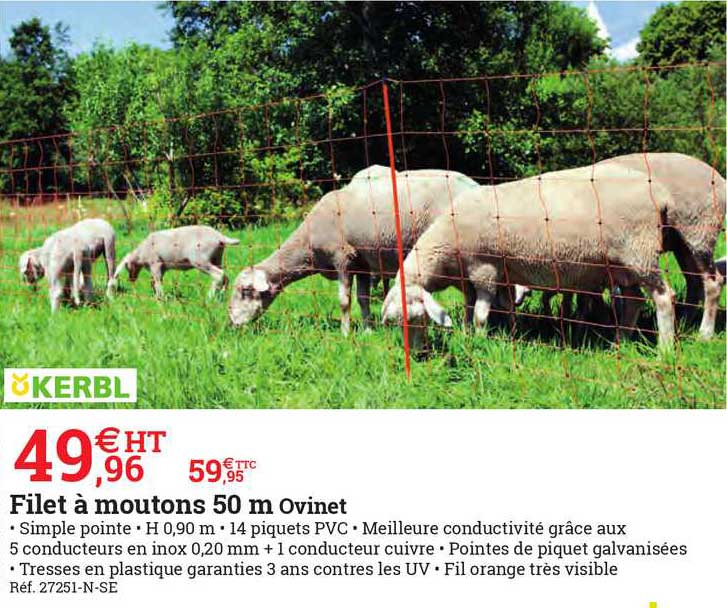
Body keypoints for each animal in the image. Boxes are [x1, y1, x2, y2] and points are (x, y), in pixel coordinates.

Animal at [228, 165, 479, 335]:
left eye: (245, 291)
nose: (231, 322)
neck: (308, 244)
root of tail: (474, 185)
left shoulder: (343, 258)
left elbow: (344, 300)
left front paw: (345, 333)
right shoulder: (363, 264)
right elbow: (362, 299)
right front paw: (368, 330)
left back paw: (467, 329)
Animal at [381, 164, 679, 353]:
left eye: (419, 319)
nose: (417, 356)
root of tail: (661, 195)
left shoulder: (485, 269)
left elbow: (479, 315)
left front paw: (479, 341)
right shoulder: (484, 277)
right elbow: (480, 310)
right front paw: (498, 334)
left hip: (639, 252)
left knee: (664, 297)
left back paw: (664, 350)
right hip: (622, 266)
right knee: (633, 301)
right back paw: (621, 341)